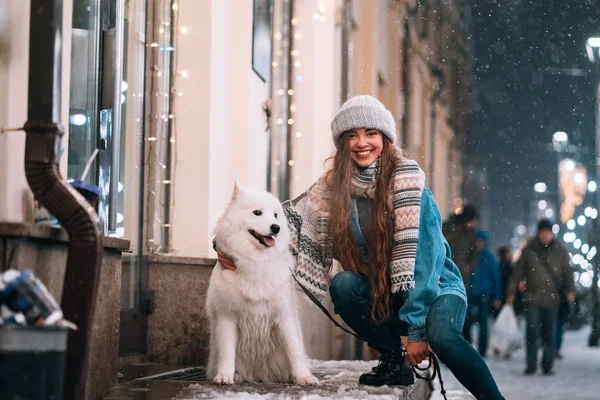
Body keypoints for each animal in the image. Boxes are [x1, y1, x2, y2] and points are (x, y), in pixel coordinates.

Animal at [206, 181, 318, 384]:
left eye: (275, 215)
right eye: (257, 213)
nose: (276, 228)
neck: (256, 261)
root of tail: (257, 375)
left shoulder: (284, 316)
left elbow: (295, 351)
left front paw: (303, 377)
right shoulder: (227, 317)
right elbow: (227, 353)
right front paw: (224, 376)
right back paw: (237, 375)